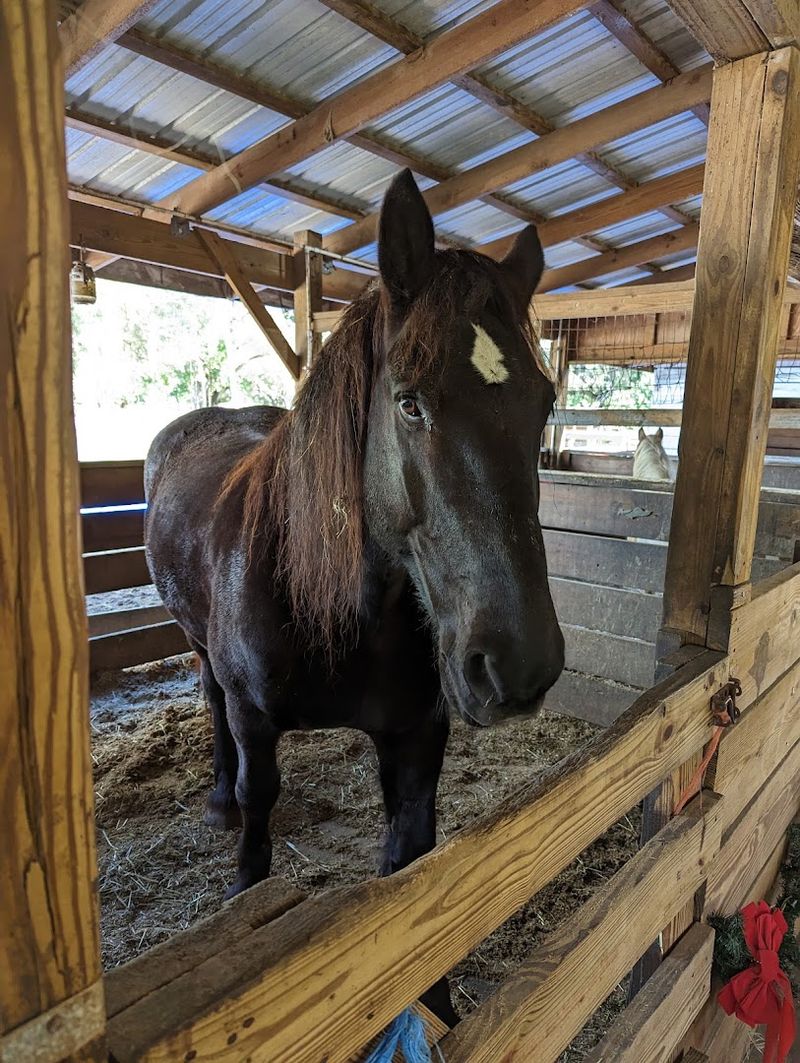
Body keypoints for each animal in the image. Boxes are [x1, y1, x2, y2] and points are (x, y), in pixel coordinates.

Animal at [144, 169, 564, 927]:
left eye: (544, 405)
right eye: (409, 402)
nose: (518, 667)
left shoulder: (417, 742)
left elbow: (408, 858)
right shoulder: (254, 719)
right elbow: (258, 805)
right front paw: (241, 884)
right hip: (198, 646)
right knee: (211, 700)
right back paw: (217, 800)